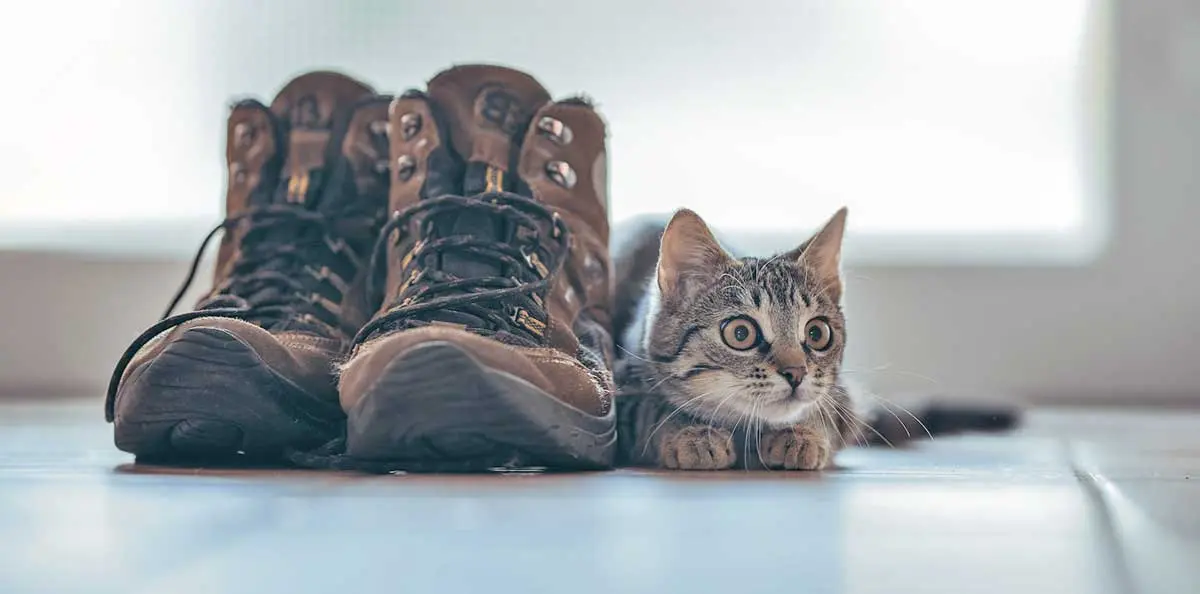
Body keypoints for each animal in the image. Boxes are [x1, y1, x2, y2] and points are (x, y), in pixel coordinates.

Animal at [614, 206, 859, 472]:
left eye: (817, 333)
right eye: (741, 333)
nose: (797, 372)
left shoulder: (844, 401)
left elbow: (825, 411)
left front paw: (802, 434)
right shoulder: (623, 390)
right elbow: (650, 410)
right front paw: (692, 434)